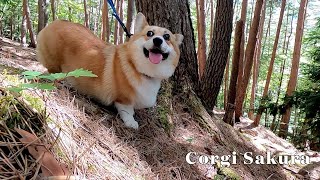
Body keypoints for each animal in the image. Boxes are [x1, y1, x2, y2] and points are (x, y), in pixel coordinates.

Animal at [35, 12, 182, 129]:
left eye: (167, 37)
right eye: (150, 33)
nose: (157, 40)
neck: (142, 70)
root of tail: (55, 22)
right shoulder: (123, 99)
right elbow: (127, 111)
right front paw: (131, 122)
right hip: (54, 63)